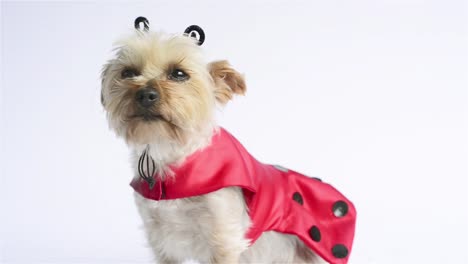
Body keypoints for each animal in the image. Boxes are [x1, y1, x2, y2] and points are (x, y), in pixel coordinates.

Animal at [101, 21, 354, 264]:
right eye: (128, 72)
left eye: (179, 74)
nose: (145, 95)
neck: (171, 152)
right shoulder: (161, 239)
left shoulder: (224, 238)